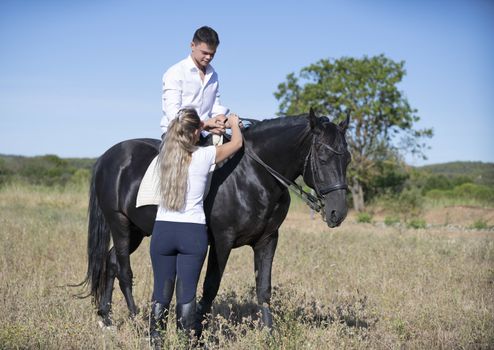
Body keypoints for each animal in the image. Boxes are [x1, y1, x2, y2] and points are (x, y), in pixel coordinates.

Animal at [82, 109, 352, 328]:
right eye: (322, 156)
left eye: (347, 159)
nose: (337, 213)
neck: (252, 176)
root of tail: (107, 157)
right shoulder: (222, 241)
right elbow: (210, 287)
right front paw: (196, 330)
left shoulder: (267, 240)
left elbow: (263, 289)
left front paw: (269, 334)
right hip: (120, 224)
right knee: (124, 270)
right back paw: (136, 318)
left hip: (137, 230)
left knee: (111, 261)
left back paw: (106, 317)